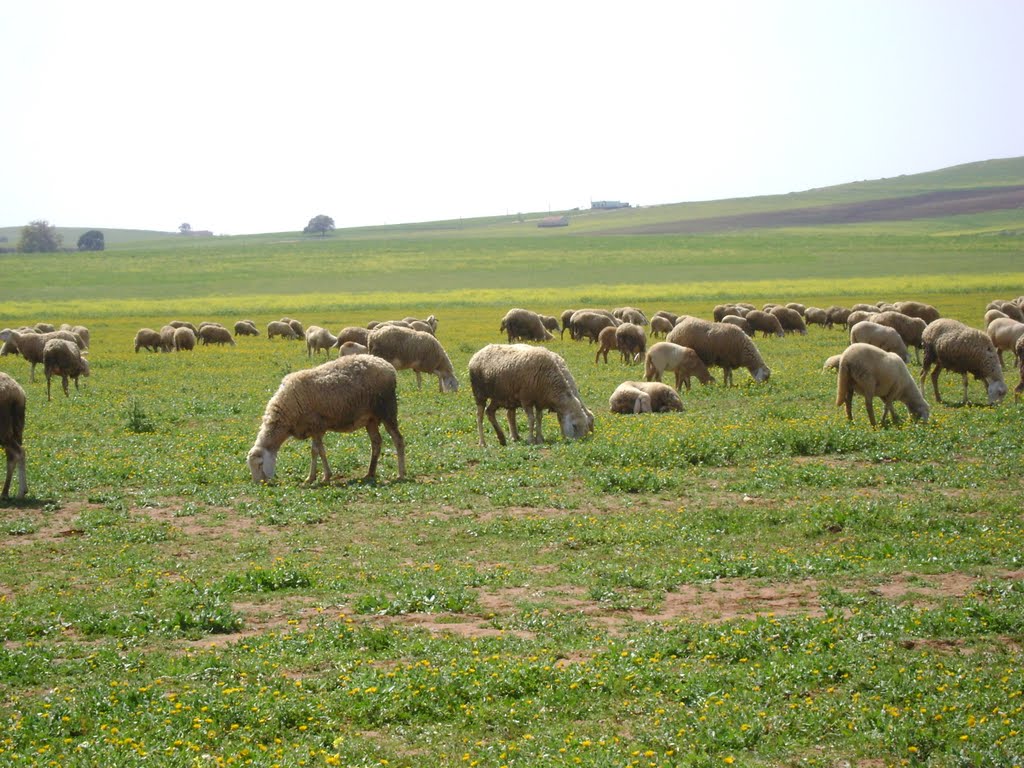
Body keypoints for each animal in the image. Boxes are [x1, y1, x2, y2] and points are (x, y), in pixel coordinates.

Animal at [246, 352, 403, 483]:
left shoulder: (317, 426)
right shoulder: (315, 429)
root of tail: (388, 366)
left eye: (260, 465)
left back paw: (401, 474)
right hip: (370, 419)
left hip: (387, 410)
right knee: (376, 442)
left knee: (398, 439)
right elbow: (319, 451)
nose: (260, 484)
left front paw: (315, 477)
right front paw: (322, 476)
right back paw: (370, 473)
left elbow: (316, 451)